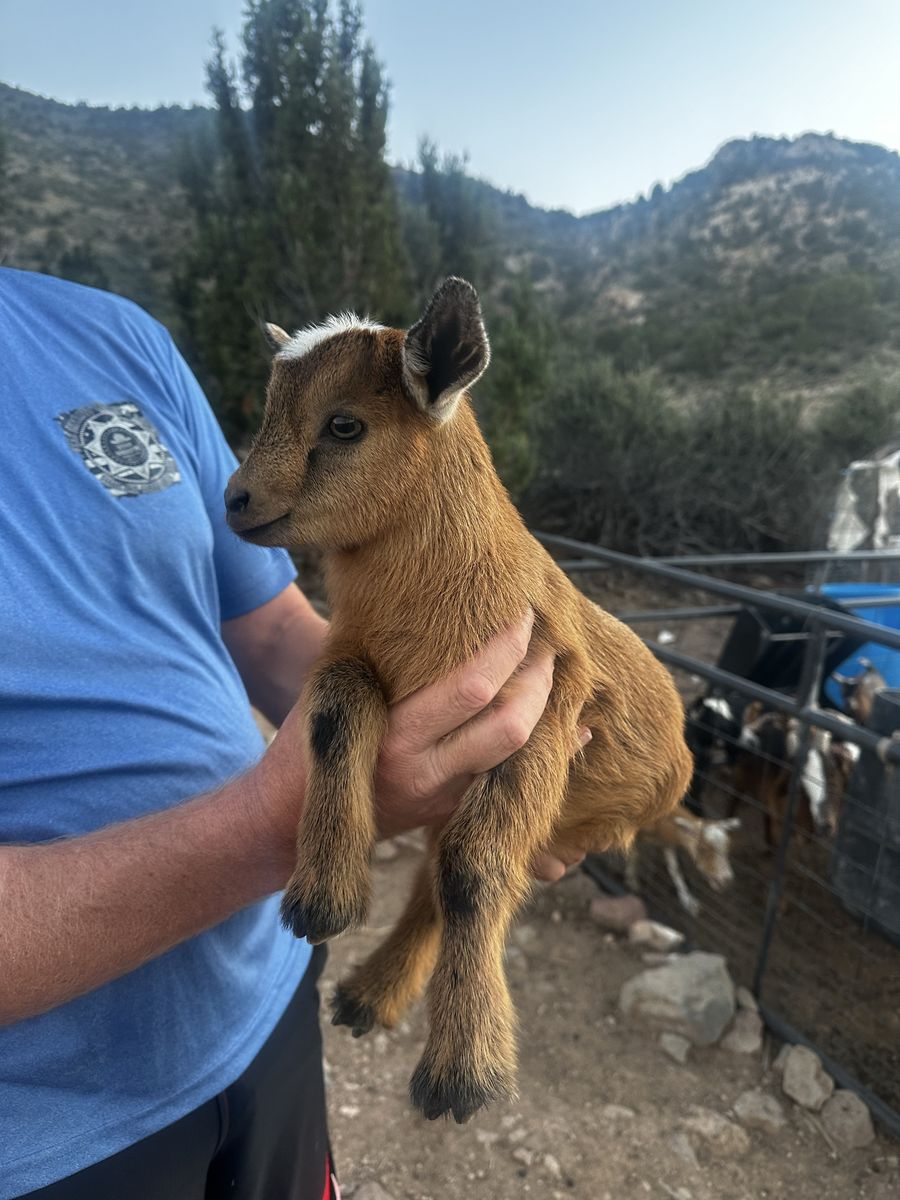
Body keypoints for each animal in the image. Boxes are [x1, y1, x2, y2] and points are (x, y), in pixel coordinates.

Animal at [224, 277, 692, 1123]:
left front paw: (463, 1073)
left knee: (451, 875)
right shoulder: (348, 655)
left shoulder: (546, 703)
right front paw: (326, 896)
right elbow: (335, 717)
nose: (236, 501)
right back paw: (370, 995)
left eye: (344, 424)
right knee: (429, 883)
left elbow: (475, 875)